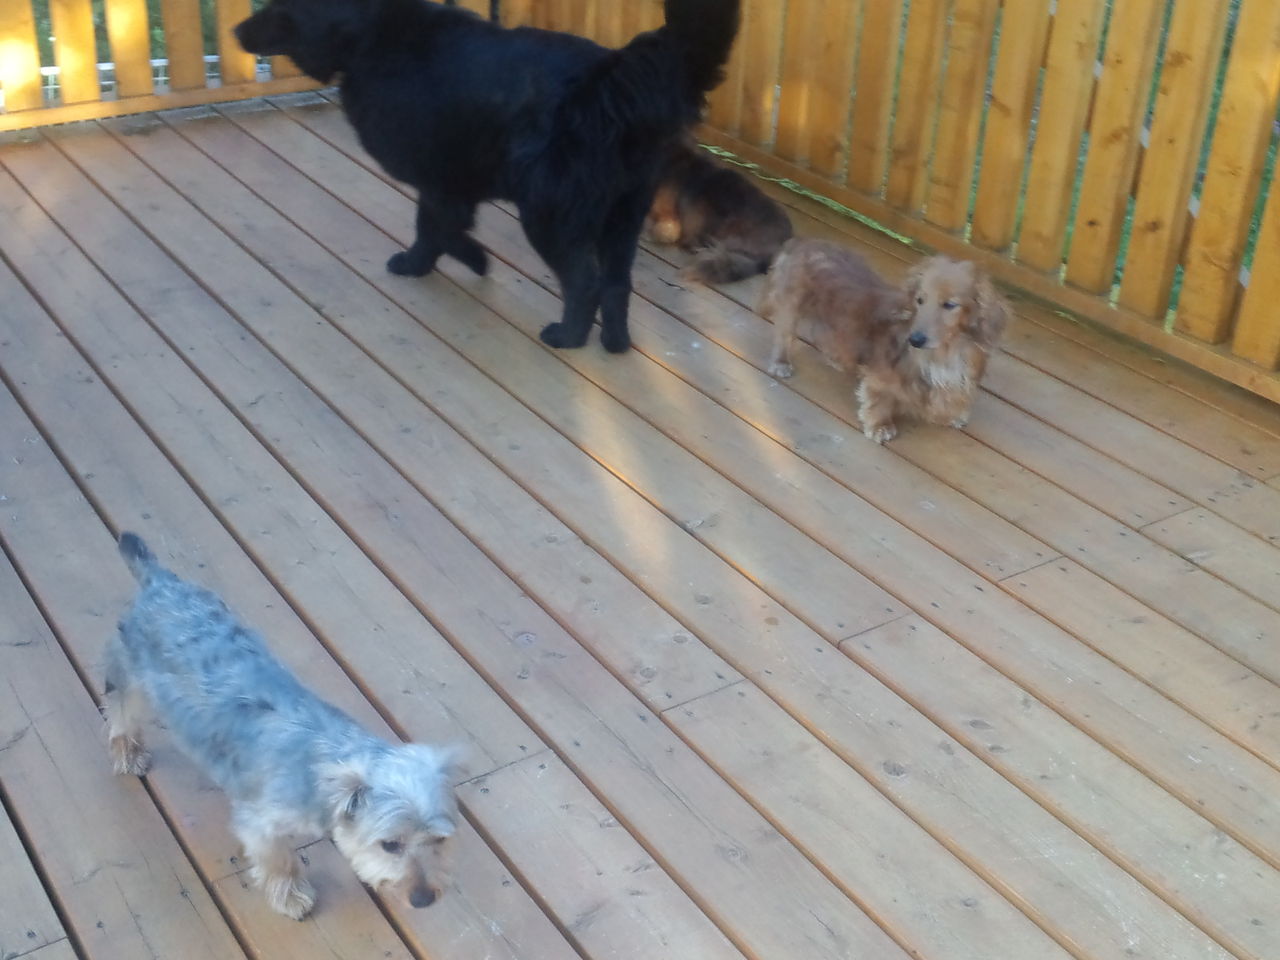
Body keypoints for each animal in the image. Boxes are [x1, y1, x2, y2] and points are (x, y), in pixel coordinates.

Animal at [103, 533, 459, 920]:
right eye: (390, 844)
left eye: (440, 840)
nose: (423, 899)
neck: (329, 760)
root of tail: (159, 581)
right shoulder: (260, 822)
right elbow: (279, 860)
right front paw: (291, 897)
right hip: (132, 675)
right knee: (121, 710)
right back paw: (129, 753)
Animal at [235, 0, 740, 354]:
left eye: (283, 3)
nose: (236, 30)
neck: (373, 36)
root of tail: (612, 79)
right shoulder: (451, 182)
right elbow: (440, 226)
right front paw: (458, 260)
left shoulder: (441, 180)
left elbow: (435, 229)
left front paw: (447, 262)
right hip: (622, 216)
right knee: (617, 284)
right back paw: (615, 344)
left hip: (549, 214)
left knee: (585, 282)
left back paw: (568, 337)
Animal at [760, 239, 1008, 443]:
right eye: (919, 300)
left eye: (949, 304)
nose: (915, 339)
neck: (943, 354)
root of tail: (803, 243)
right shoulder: (882, 374)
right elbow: (880, 397)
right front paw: (880, 426)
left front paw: (952, 415)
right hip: (791, 308)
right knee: (783, 334)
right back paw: (781, 363)